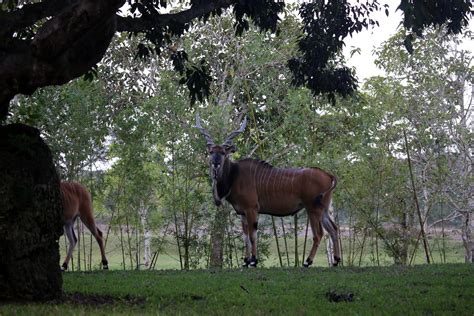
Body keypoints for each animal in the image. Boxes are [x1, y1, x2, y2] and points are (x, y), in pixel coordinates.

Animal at [194, 113, 338, 266]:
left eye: (222, 153)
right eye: (211, 152)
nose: (215, 164)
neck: (234, 175)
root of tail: (328, 175)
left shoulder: (251, 209)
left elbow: (252, 235)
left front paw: (253, 261)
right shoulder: (242, 213)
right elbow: (245, 237)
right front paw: (245, 261)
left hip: (313, 209)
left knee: (319, 234)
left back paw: (307, 262)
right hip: (324, 209)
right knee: (334, 229)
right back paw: (336, 260)